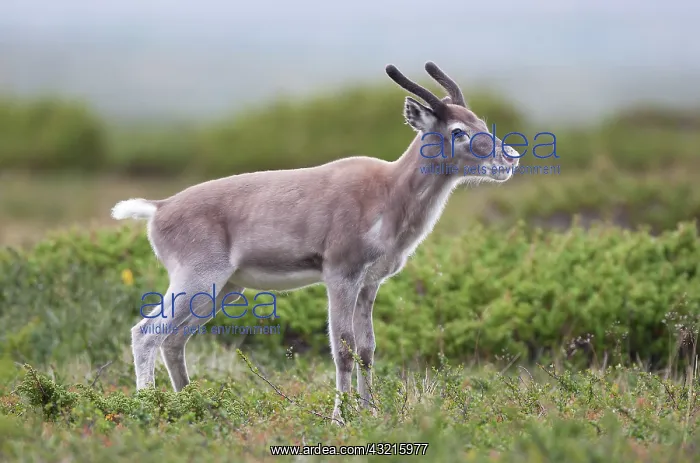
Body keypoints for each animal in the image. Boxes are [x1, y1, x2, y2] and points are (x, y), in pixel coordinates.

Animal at [110, 61, 520, 424]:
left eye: (479, 121)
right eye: (458, 130)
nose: (511, 157)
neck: (389, 193)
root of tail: (160, 207)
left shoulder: (369, 283)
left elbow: (367, 349)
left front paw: (372, 413)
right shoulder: (340, 276)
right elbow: (343, 348)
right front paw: (340, 418)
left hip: (223, 289)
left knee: (174, 340)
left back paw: (197, 407)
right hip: (197, 279)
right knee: (145, 333)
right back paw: (149, 408)